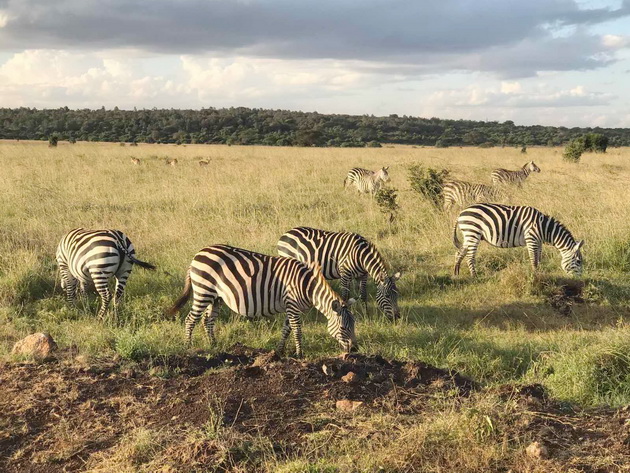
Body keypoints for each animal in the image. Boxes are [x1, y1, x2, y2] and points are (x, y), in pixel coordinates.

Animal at [168, 245, 358, 356]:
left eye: (354, 325)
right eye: (343, 327)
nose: (355, 350)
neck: (308, 287)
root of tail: (197, 255)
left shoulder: (290, 307)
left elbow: (286, 329)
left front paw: (280, 351)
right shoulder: (292, 304)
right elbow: (297, 330)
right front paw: (299, 354)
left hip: (216, 297)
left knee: (207, 320)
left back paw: (213, 345)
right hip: (203, 291)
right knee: (190, 320)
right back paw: (188, 347)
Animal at [454, 203, 588, 276]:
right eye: (578, 261)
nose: (580, 279)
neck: (543, 228)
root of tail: (461, 213)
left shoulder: (538, 242)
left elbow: (539, 259)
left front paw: (540, 272)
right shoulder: (531, 239)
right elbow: (533, 260)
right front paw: (535, 275)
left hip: (468, 235)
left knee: (459, 252)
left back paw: (456, 273)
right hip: (473, 233)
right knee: (470, 257)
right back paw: (474, 275)